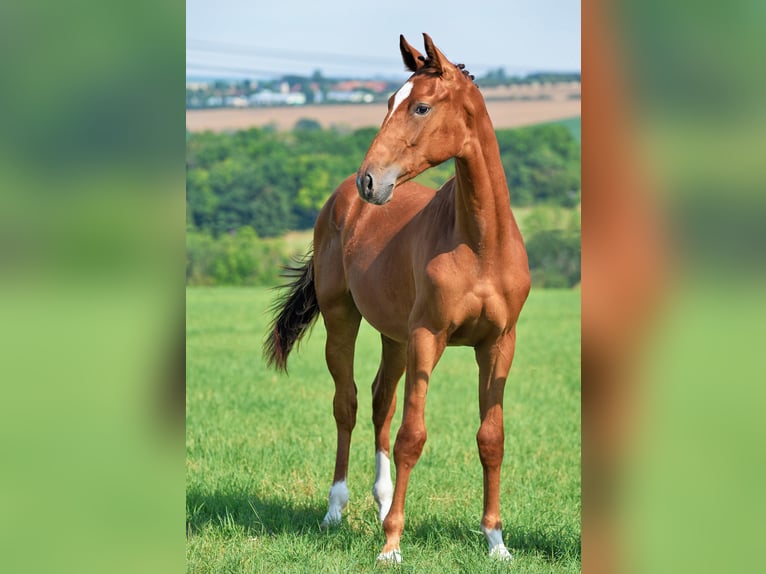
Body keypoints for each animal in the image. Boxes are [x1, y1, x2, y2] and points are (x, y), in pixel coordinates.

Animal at [264, 33, 530, 564]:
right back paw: (336, 510)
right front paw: (391, 545)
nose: (370, 181)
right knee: (346, 404)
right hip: (344, 320)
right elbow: (413, 435)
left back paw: (383, 499)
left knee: (379, 402)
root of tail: (339, 201)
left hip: (395, 339)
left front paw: (496, 541)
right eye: (389, 102)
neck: (480, 244)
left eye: (421, 106)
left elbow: (491, 437)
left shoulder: (498, 343)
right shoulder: (428, 336)